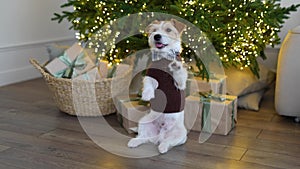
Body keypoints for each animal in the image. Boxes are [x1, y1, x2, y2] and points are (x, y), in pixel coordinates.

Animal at [127, 19, 189, 154]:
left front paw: (176, 67)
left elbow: (180, 77)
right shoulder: (151, 75)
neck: (164, 57)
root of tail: (159, 136)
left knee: (168, 142)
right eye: (154, 30)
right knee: (143, 137)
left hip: (181, 134)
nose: (156, 36)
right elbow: (148, 84)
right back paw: (134, 142)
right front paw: (147, 95)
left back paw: (163, 147)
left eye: (168, 30)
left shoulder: (181, 84)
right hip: (144, 122)